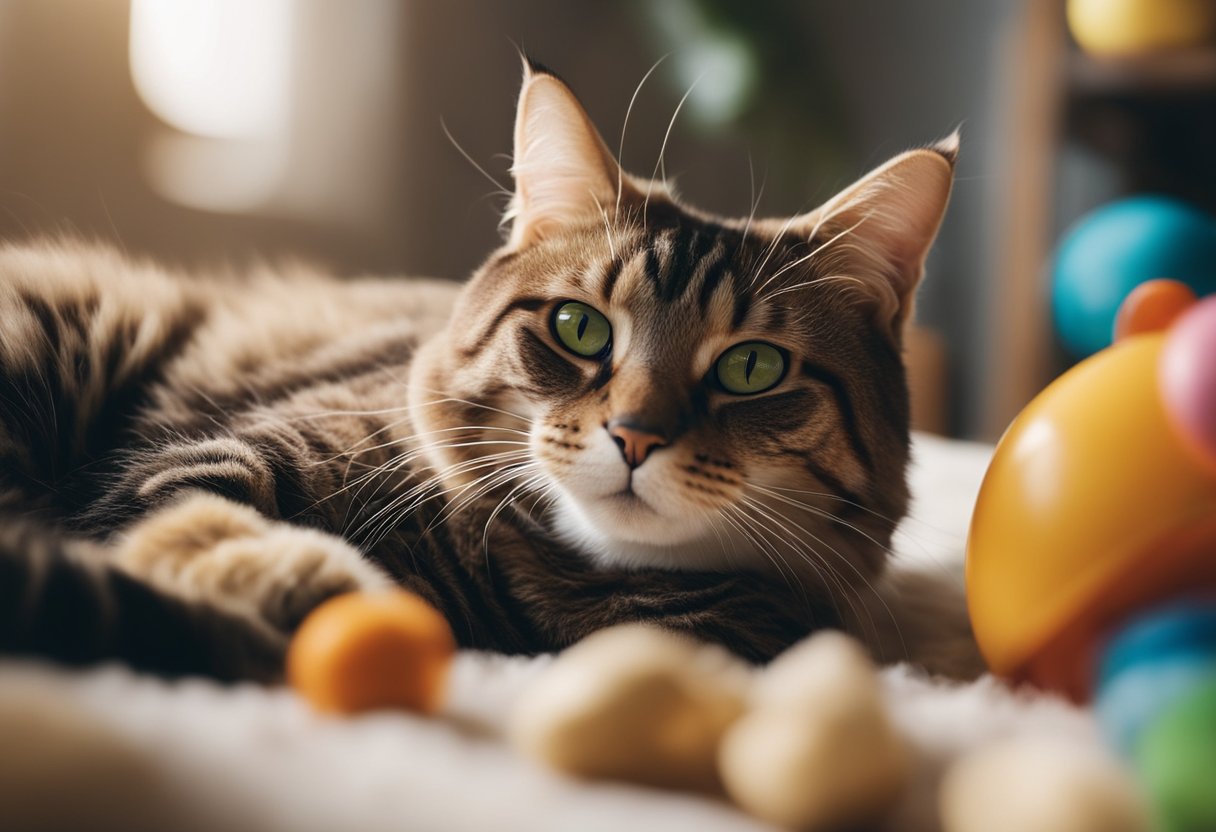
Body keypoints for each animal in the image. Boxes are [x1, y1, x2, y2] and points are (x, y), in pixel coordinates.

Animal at [0, 58, 972, 681]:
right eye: (580, 328)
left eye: (751, 368)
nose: (634, 436)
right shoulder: (198, 460)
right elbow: (210, 525)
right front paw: (318, 587)